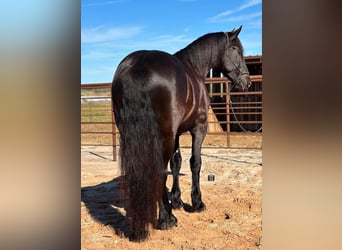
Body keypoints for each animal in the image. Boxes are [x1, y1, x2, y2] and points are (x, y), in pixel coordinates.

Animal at [112, 25, 251, 242]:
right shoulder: (198, 128)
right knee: (159, 171)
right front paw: (197, 203)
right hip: (165, 136)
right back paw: (167, 218)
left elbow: (176, 162)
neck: (193, 67)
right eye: (236, 50)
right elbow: (195, 163)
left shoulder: (176, 133)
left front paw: (176, 199)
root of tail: (139, 66)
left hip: (133, 134)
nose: (247, 82)